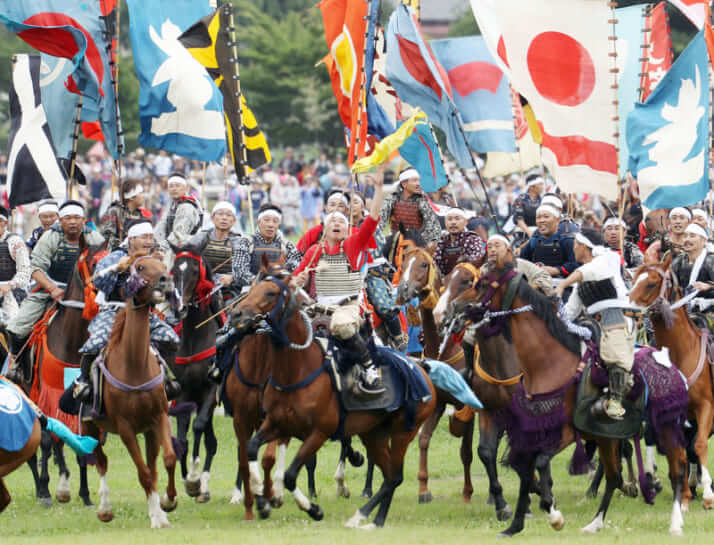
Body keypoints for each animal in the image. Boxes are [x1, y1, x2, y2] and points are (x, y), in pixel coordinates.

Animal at [82, 253, 179, 524]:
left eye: (163, 265)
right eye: (140, 267)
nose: (166, 281)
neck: (134, 366)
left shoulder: (159, 416)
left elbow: (167, 460)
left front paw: (167, 503)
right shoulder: (125, 427)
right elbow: (143, 472)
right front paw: (157, 517)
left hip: (148, 429)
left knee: (152, 464)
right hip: (90, 426)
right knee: (101, 461)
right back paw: (105, 508)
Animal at [234, 264, 434, 528]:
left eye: (270, 293)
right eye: (253, 288)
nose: (236, 315)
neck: (297, 370)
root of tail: (422, 369)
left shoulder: (319, 432)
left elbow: (290, 475)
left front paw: (313, 509)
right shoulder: (277, 424)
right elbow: (251, 449)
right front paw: (262, 499)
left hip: (403, 432)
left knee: (395, 476)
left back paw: (368, 518)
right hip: (374, 434)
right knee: (390, 475)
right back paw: (370, 519)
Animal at [448, 264, 688, 536]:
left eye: (481, 284)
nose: (455, 307)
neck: (548, 364)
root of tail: (666, 360)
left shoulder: (563, 430)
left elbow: (539, 462)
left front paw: (550, 510)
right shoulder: (518, 423)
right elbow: (519, 465)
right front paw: (515, 522)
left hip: (665, 427)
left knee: (677, 470)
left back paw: (674, 521)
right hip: (607, 436)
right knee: (614, 475)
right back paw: (596, 522)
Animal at [628, 255, 712, 510]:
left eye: (651, 284)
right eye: (634, 279)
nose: (627, 310)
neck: (681, 353)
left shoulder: (706, 407)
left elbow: (699, 445)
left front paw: (708, 495)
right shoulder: (670, 414)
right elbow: (679, 452)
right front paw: (683, 496)